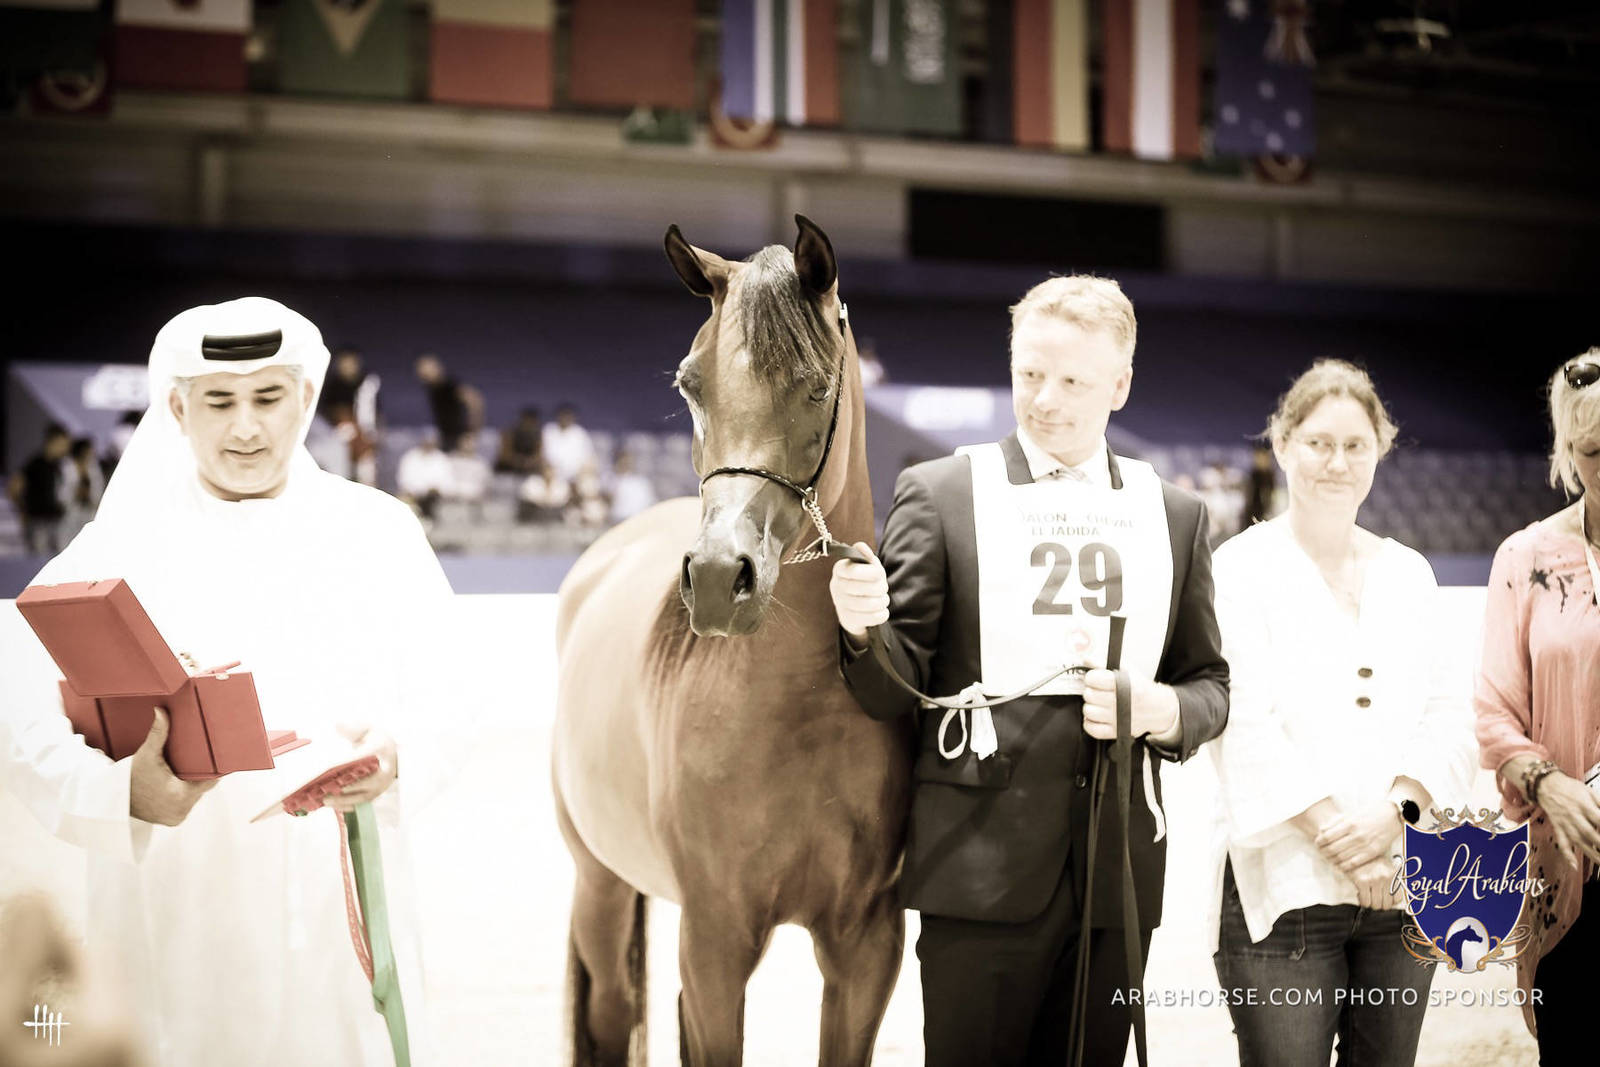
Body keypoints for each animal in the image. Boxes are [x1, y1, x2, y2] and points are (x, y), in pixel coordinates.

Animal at [552, 215, 910, 1066]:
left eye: (816, 385)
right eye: (691, 385)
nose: (719, 577)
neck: (794, 706)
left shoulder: (866, 946)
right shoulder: (715, 942)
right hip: (599, 884)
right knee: (609, 1011)